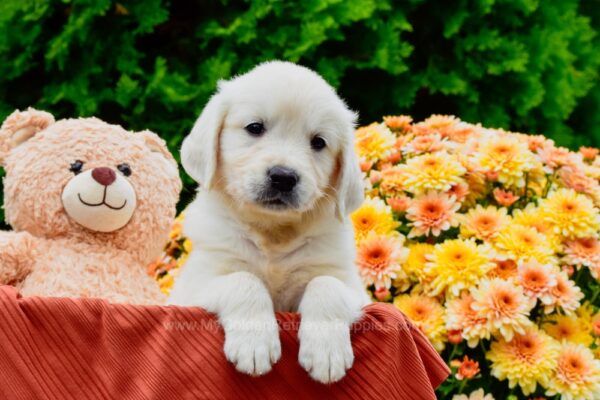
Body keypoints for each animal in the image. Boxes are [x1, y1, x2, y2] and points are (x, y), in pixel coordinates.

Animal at [169, 61, 370, 384]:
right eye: (255, 128)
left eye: (318, 142)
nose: (283, 177)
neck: (273, 231)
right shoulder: (194, 287)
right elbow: (243, 279)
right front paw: (255, 345)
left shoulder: (356, 290)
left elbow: (326, 285)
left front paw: (327, 353)